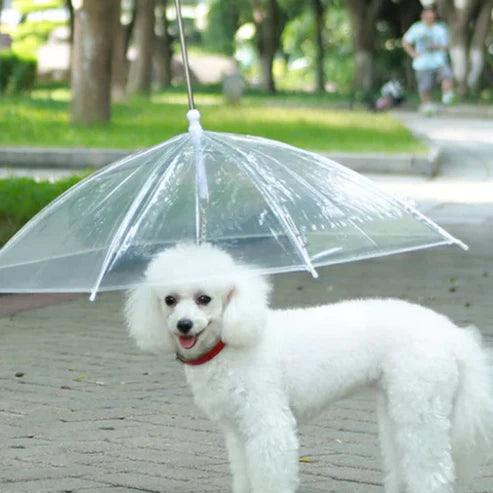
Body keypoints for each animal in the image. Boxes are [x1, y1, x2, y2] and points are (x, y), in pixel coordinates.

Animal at [124, 243, 492, 492]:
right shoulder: (238, 431)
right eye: (169, 300)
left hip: (420, 404)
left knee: (432, 471)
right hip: (399, 404)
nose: (183, 325)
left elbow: (270, 474)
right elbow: (244, 474)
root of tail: (452, 335)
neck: (229, 344)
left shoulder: (268, 424)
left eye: (205, 299)